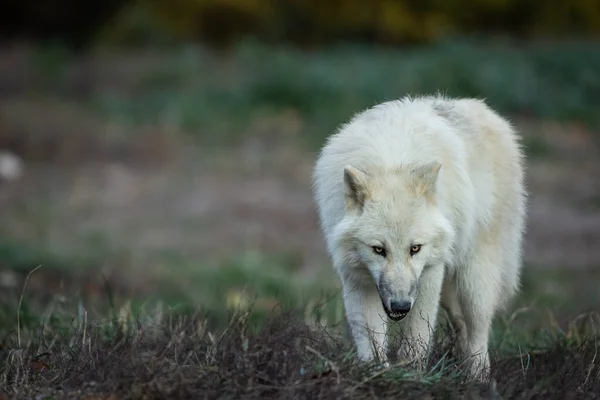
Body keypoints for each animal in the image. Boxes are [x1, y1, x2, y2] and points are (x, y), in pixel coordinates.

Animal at [312, 95, 528, 380]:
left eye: (415, 248)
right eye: (378, 250)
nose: (401, 306)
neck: (390, 160)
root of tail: (485, 110)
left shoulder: (431, 271)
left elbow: (418, 337)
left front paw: (412, 376)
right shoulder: (356, 277)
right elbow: (371, 341)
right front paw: (376, 375)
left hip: (473, 278)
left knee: (478, 328)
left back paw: (477, 378)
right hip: (449, 290)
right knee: (461, 324)